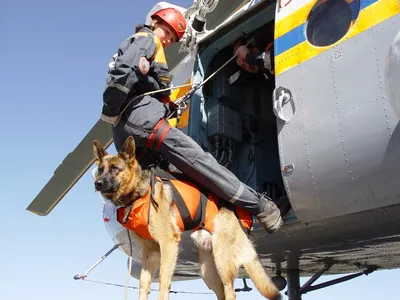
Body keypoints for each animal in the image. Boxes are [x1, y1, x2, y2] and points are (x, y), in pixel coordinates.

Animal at [93, 137, 282, 300]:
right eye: (100, 170)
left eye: (115, 168)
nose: (97, 183)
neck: (138, 193)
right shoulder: (150, 253)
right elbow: (143, 286)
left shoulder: (168, 244)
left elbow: (163, 282)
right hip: (207, 270)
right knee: (221, 293)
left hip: (222, 261)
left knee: (231, 292)